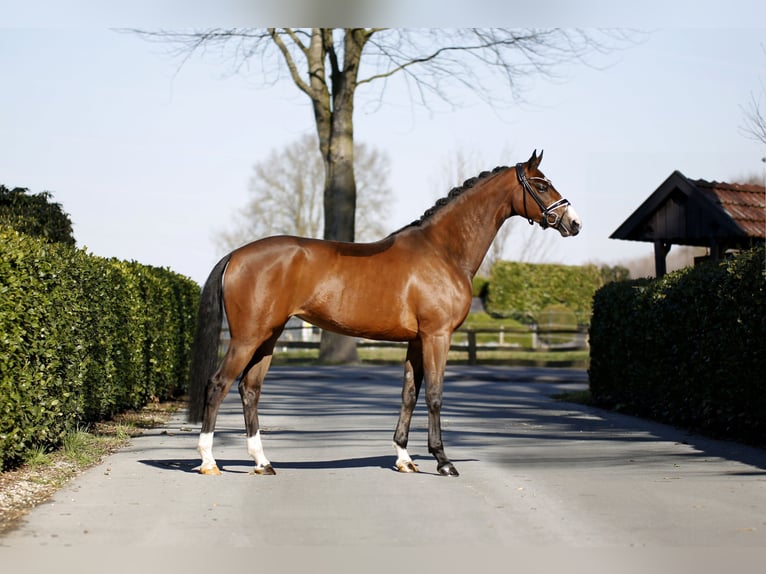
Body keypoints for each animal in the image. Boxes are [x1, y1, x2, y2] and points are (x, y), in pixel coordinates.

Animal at [188, 150, 581, 477]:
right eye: (541, 184)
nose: (573, 223)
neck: (443, 251)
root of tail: (236, 255)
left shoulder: (416, 341)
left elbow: (409, 393)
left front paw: (405, 458)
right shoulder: (438, 336)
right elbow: (434, 394)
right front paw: (443, 461)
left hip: (268, 337)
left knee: (250, 389)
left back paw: (262, 462)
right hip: (247, 337)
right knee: (218, 384)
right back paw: (209, 462)